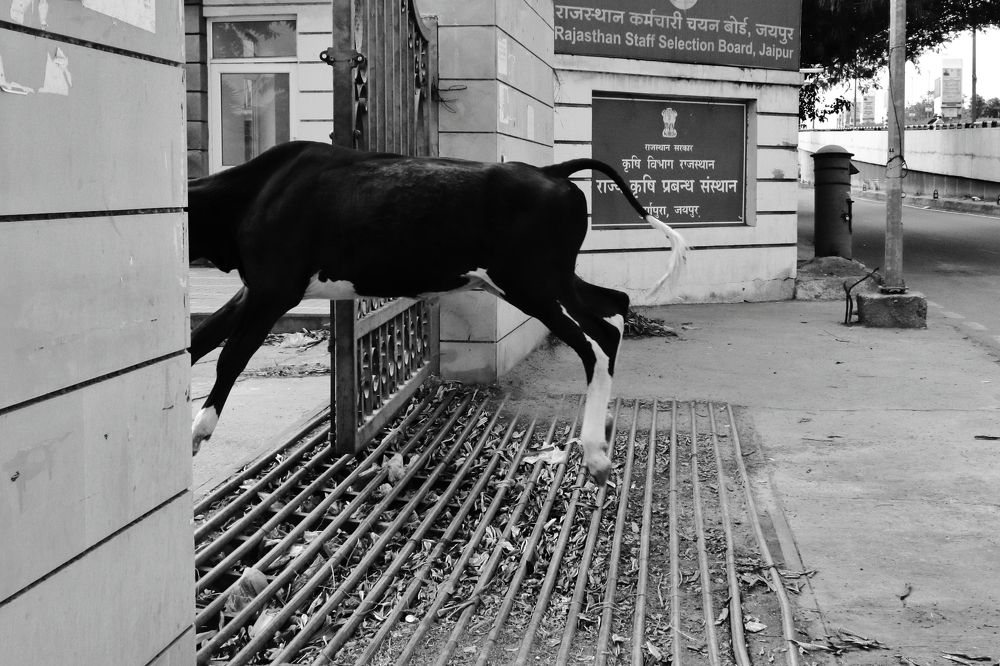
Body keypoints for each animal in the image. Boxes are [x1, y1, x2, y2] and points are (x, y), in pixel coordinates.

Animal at [188, 140, 686, 485]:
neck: (252, 192)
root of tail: (551, 170)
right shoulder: (252, 292)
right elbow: (200, 340)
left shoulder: (272, 292)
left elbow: (231, 356)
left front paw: (199, 429)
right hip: (551, 280)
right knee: (614, 306)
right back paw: (603, 423)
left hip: (533, 285)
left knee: (596, 339)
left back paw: (596, 451)